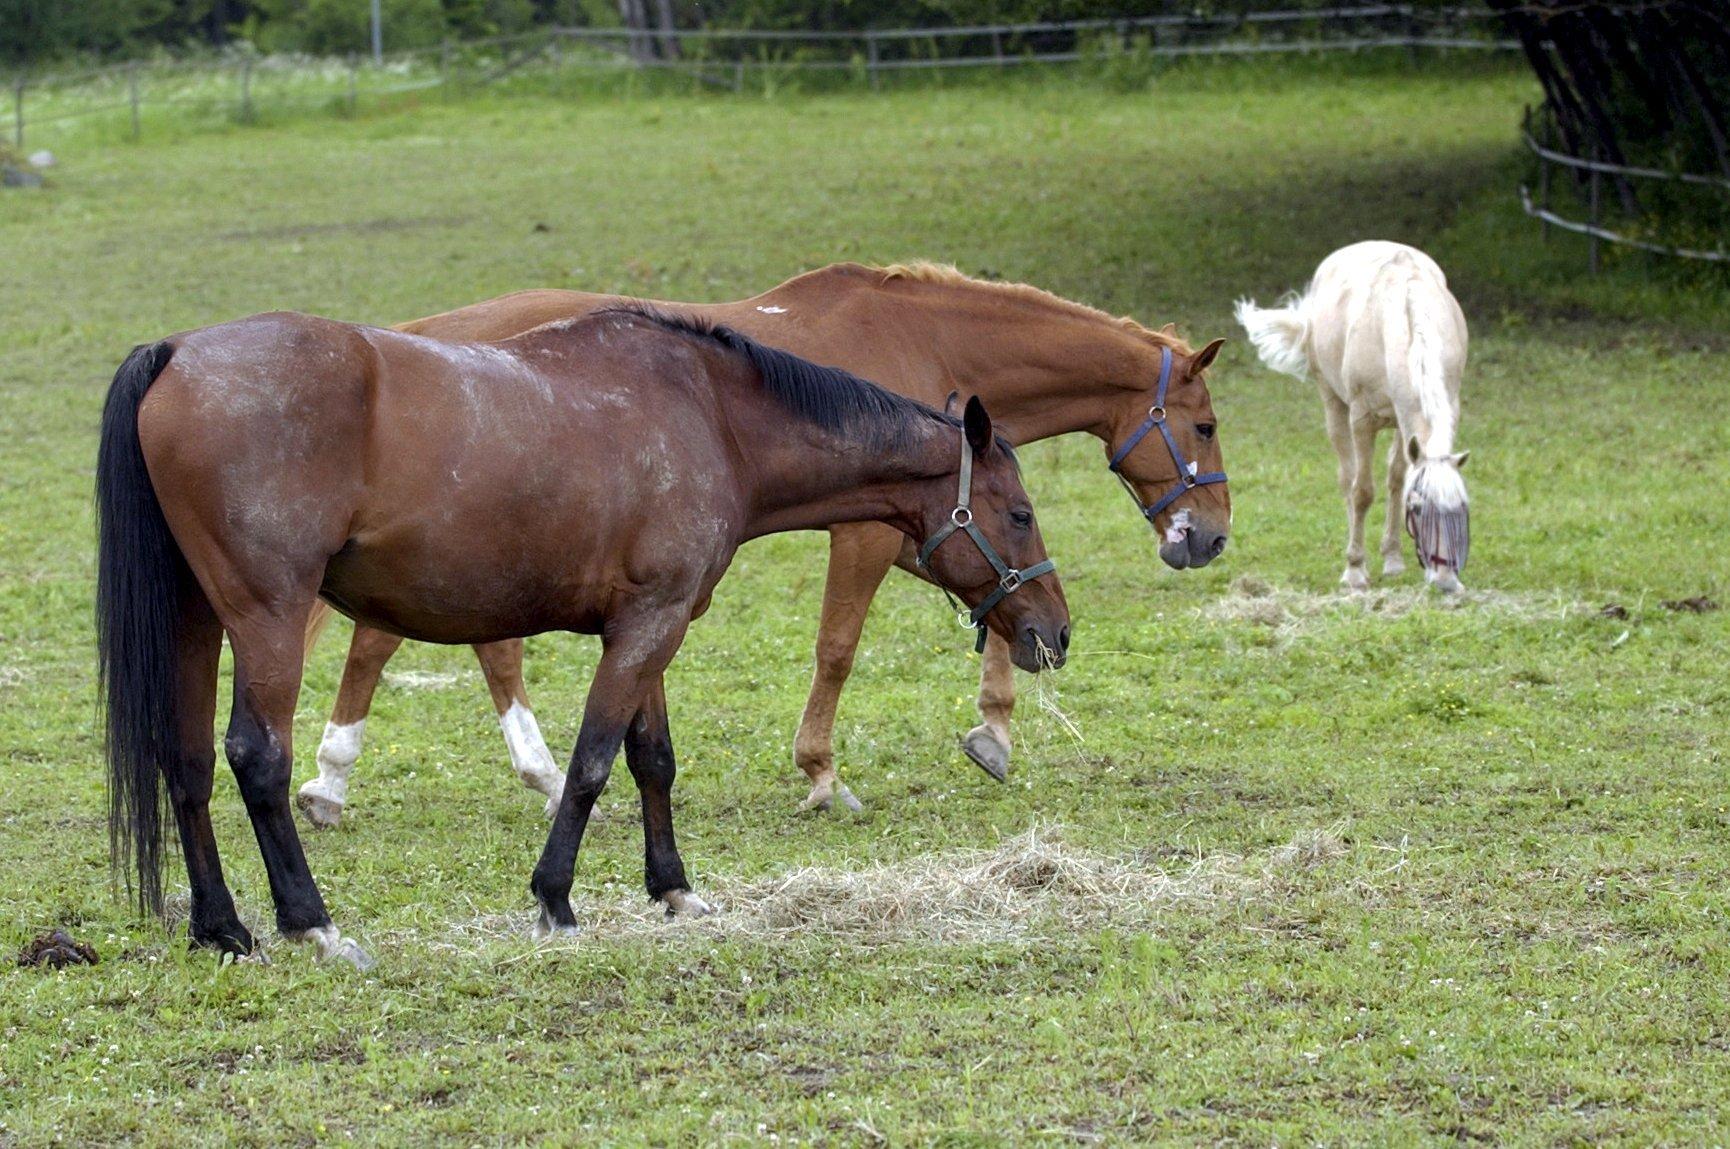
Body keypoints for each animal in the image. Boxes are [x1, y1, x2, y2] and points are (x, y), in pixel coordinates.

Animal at [98, 302, 1065, 962]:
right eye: (1018, 513)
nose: (1054, 630)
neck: (713, 416)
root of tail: (175, 353)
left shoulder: (653, 625)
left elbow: (652, 759)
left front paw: (674, 889)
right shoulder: (646, 628)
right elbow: (594, 763)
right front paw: (555, 899)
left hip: (195, 619)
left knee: (185, 760)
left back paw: (222, 926)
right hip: (265, 618)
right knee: (257, 758)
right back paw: (313, 924)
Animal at [287, 264, 1231, 830]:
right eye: (1206, 425)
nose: (1211, 536)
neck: (924, 341)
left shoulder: (920, 528)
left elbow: (996, 605)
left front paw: (993, 728)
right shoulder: (866, 533)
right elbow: (838, 648)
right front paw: (822, 773)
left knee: (444, 644)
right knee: (397, 641)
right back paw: (345, 777)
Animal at [1238, 243, 1467, 595]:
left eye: (1459, 509)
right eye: (1417, 509)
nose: (1446, 581)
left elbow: (1397, 482)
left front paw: (1392, 560)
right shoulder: (1362, 419)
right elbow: (1362, 492)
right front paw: (1355, 570)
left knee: (1393, 477)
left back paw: (1391, 557)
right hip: (1333, 404)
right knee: (1347, 478)